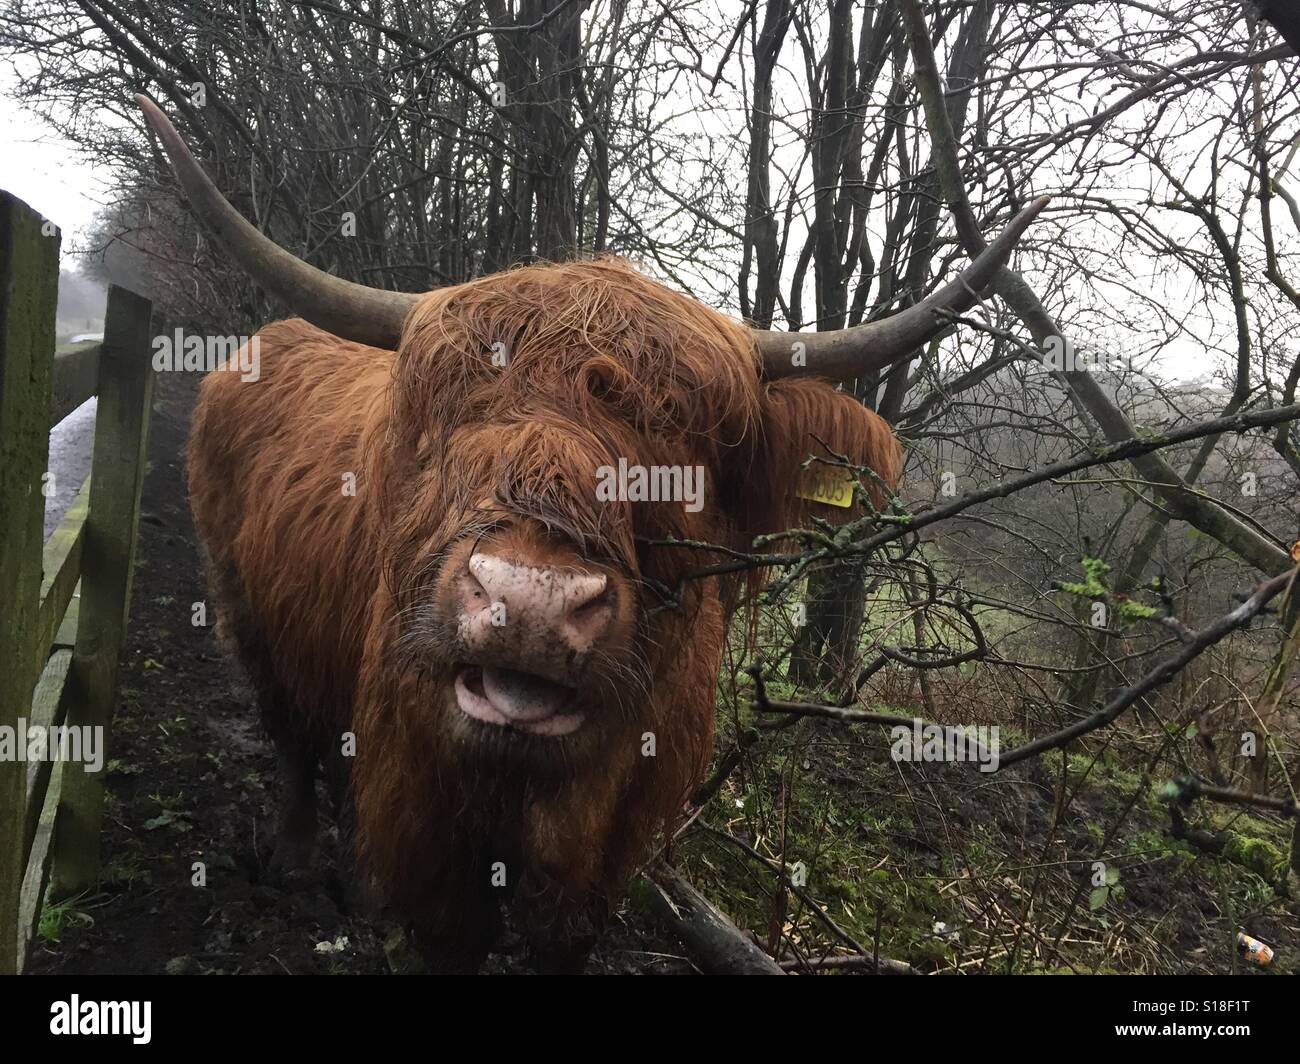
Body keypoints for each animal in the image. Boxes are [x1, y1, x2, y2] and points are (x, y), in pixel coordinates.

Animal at [137, 97, 1040, 967]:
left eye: (688, 450)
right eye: (449, 420)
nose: (529, 603)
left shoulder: (609, 847)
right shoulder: (425, 827)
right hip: (244, 606)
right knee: (287, 726)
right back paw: (293, 859)